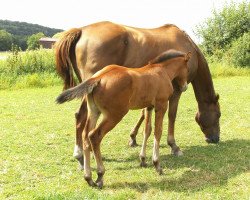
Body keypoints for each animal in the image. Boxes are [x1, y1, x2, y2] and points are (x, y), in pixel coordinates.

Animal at [54, 21, 221, 169]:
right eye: (219, 114)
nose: (215, 139)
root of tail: (81, 30)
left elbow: (143, 115)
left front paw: (133, 138)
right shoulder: (176, 90)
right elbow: (171, 116)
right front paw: (173, 146)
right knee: (80, 117)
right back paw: (80, 155)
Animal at [56, 49, 189, 188]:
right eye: (187, 68)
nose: (185, 87)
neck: (161, 71)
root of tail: (98, 77)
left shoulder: (149, 107)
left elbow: (147, 130)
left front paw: (143, 160)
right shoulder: (161, 105)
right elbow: (158, 132)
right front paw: (157, 165)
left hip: (94, 112)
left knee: (85, 136)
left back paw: (89, 178)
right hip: (115, 115)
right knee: (94, 136)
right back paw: (100, 175)